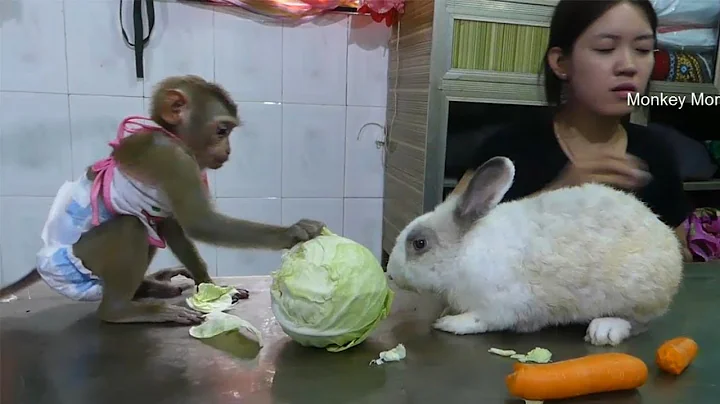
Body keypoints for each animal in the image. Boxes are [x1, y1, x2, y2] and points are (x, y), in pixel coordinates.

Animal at [386, 156, 684, 346]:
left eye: (419, 244)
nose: (389, 274)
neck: (462, 253)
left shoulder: (499, 305)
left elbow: (480, 320)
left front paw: (449, 323)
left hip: (637, 297)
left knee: (637, 323)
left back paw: (604, 330)